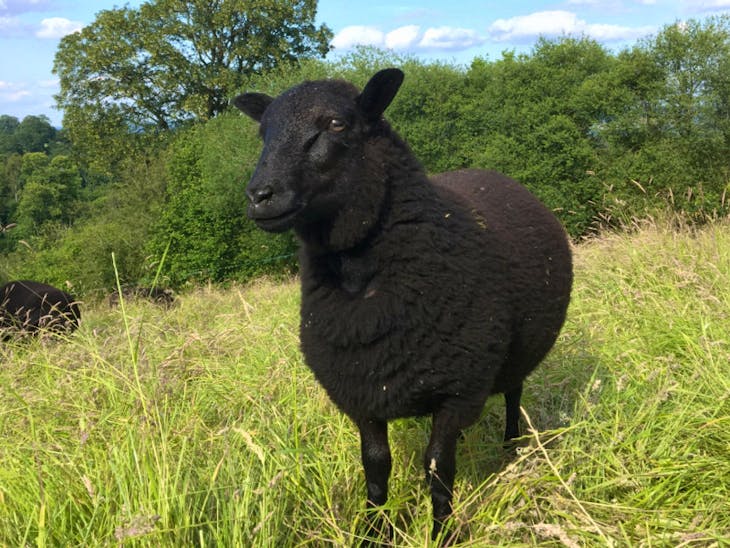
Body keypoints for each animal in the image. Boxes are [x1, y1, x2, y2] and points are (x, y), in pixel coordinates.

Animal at [233, 68, 573, 543]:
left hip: (513, 355)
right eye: (263, 132)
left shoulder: (457, 390)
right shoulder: (362, 391)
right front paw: (373, 531)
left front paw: (442, 533)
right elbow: (376, 467)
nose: (260, 195)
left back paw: (512, 445)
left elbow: (438, 468)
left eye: (337, 124)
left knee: (512, 393)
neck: (362, 286)